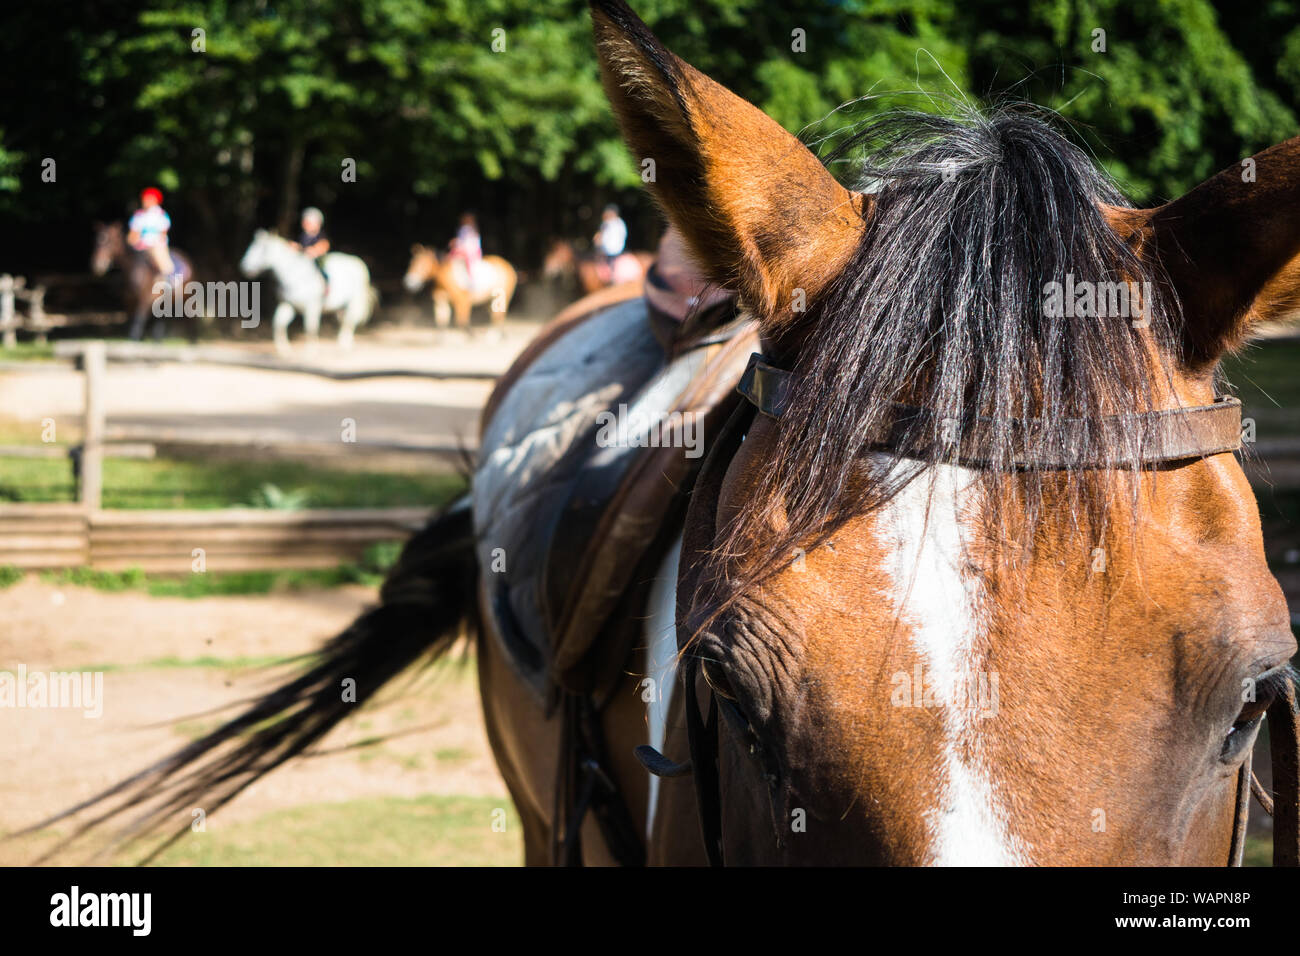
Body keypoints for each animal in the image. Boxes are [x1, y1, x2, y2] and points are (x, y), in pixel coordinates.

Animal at [239, 230, 376, 351]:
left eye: (263, 250)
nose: (244, 267)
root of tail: (358, 261)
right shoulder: (287, 305)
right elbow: (278, 324)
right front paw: (283, 349)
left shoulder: (312, 306)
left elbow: (310, 328)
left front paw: (311, 351)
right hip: (341, 306)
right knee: (345, 321)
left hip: (354, 302)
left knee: (350, 321)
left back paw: (344, 344)